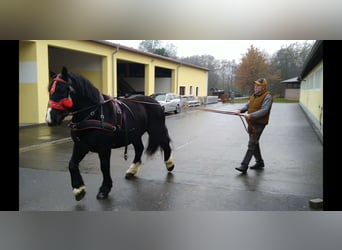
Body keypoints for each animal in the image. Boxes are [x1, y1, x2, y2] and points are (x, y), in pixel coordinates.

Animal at [45, 66, 175, 201]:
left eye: (62, 90)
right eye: (49, 90)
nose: (50, 119)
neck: (94, 114)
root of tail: (154, 101)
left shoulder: (104, 148)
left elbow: (104, 167)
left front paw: (104, 189)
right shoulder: (81, 145)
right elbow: (72, 164)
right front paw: (78, 189)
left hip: (156, 129)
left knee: (165, 143)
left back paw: (169, 164)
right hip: (135, 135)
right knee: (139, 148)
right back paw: (132, 170)